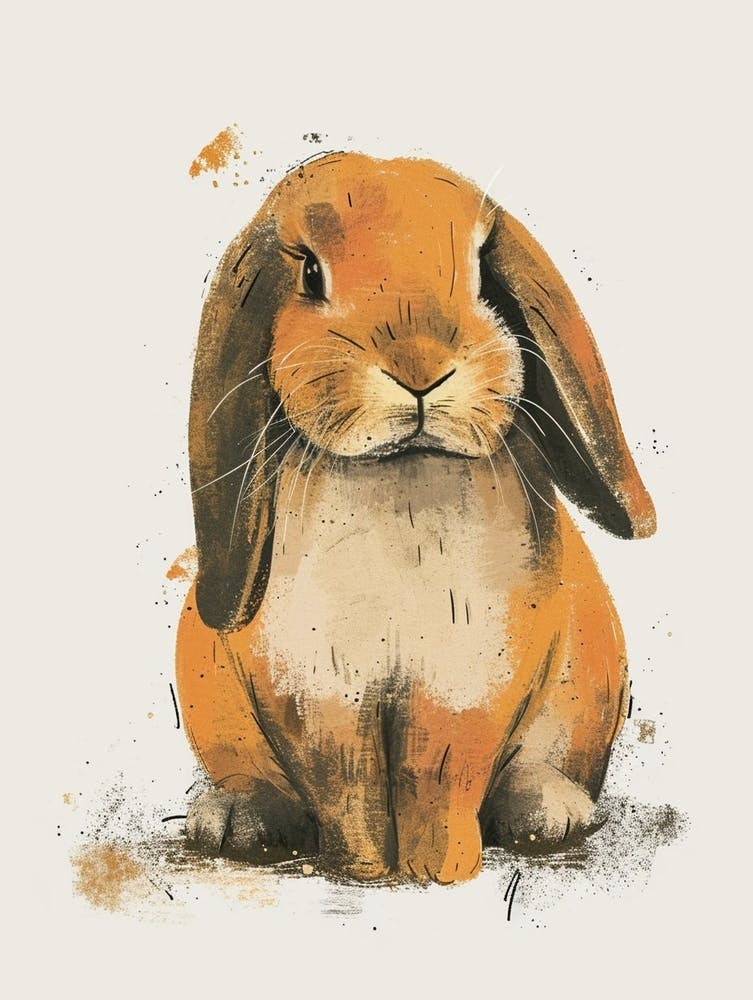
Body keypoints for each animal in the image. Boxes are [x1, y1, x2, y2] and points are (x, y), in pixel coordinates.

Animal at [176, 152, 655, 884]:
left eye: (483, 270)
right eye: (309, 274)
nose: (419, 367)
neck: (398, 483)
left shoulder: (467, 683)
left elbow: (440, 778)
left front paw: (439, 871)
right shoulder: (320, 692)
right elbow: (348, 786)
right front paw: (365, 871)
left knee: (538, 769)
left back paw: (549, 814)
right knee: (251, 774)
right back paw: (238, 820)